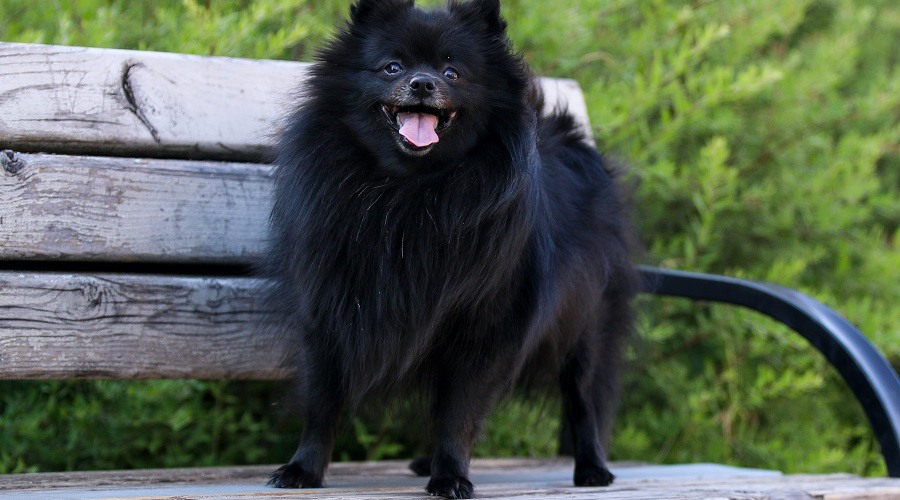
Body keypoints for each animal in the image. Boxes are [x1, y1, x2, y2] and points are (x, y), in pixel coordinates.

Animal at [260, 0, 636, 496]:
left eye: (452, 72)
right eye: (392, 67)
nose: (423, 83)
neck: (411, 191)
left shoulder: (483, 328)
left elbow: (460, 412)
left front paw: (453, 474)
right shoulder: (329, 315)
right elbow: (322, 405)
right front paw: (303, 468)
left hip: (585, 327)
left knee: (583, 399)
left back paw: (592, 467)